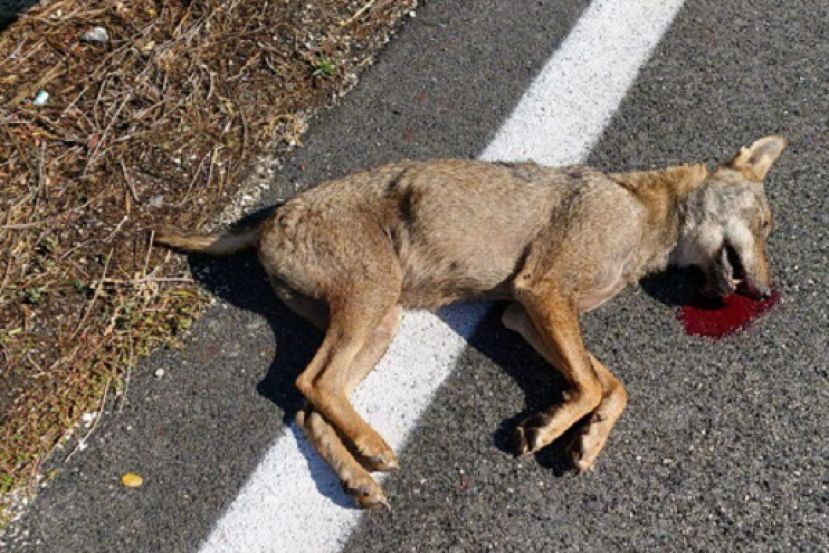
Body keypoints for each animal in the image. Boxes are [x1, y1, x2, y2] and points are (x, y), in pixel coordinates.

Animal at [156, 135, 786, 509]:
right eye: (765, 225)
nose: (765, 291)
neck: (643, 215)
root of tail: (269, 218)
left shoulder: (520, 314)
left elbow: (612, 386)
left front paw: (586, 439)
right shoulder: (541, 293)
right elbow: (588, 384)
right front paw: (547, 429)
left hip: (381, 324)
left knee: (311, 403)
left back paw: (360, 480)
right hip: (372, 302)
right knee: (309, 382)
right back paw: (374, 450)